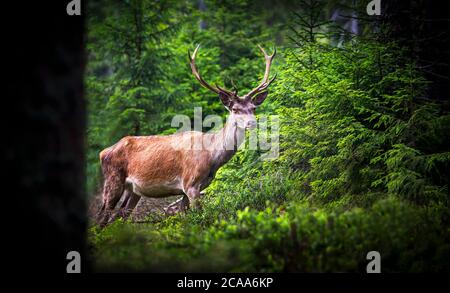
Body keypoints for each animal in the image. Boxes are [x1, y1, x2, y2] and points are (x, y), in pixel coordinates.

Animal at [96, 44, 276, 226]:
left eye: (253, 108)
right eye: (235, 109)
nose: (252, 123)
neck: (212, 156)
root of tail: (103, 152)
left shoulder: (189, 189)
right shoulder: (190, 184)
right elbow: (202, 217)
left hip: (133, 191)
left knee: (118, 217)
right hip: (113, 179)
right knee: (101, 217)